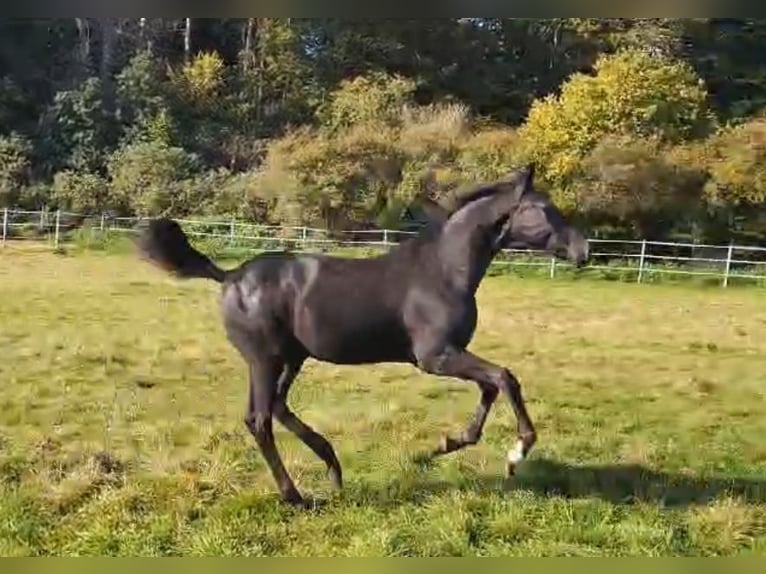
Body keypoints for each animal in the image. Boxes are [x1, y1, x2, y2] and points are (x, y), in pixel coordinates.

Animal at [138, 164, 592, 506]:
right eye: (541, 209)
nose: (582, 251)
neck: (444, 271)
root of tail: (229, 276)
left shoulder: (452, 353)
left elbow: (491, 387)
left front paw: (448, 442)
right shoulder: (435, 356)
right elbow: (504, 377)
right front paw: (516, 453)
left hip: (291, 358)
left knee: (279, 408)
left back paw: (333, 467)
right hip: (264, 359)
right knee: (260, 419)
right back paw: (295, 495)